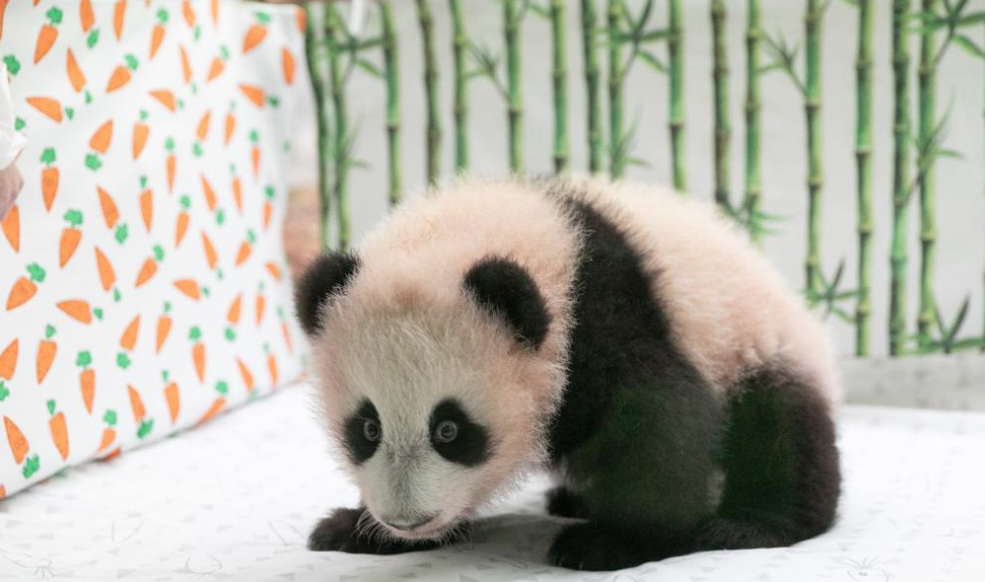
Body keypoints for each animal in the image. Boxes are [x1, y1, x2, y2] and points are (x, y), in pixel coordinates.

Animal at [294, 176, 841, 571]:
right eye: (367, 428)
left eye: (449, 429)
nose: (408, 520)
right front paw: (357, 529)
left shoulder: (601, 315)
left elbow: (660, 421)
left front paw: (611, 543)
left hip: (755, 345)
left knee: (779, 431)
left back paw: (752, 524)